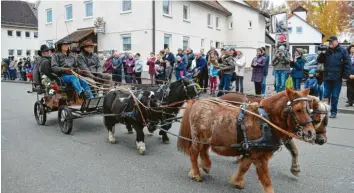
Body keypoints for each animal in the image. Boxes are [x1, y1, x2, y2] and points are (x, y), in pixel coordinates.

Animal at [177, 89, 316, 193]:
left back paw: (206, 165)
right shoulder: (260, 156)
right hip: (198, 138)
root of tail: (197, 101)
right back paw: (196, 173)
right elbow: (266, 179)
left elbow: (244, 167)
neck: (265, 121)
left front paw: (237, 182)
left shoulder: (252, 153)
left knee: (204, 151)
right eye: (298, 110)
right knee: (193, 153)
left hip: (208, 138)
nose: (311, 133)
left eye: (309, 110)